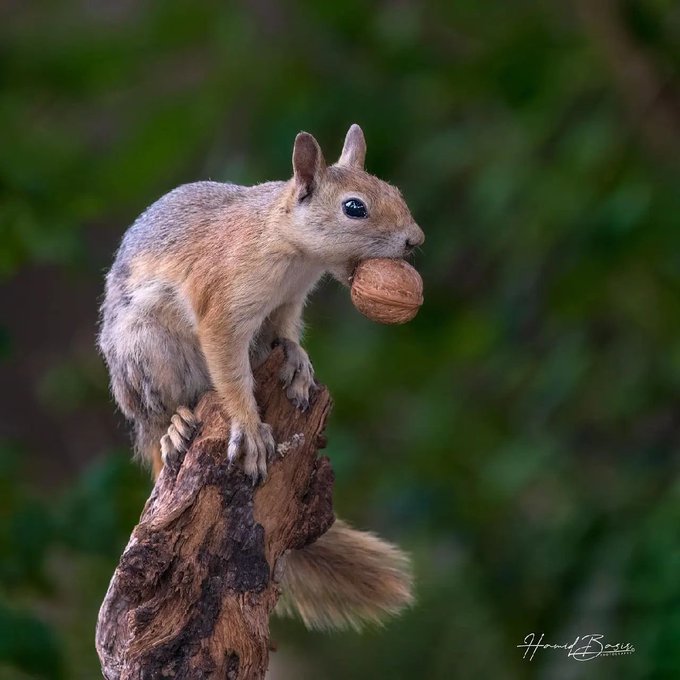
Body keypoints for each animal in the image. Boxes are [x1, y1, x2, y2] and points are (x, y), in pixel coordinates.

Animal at [98, 125, 422, 628]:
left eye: (395, 191)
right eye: (354, 207)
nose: (415, 240)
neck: (288, 244)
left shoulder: (288, 302)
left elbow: (286, 333)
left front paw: (297, 362)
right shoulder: (222, 308)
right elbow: (230, 375)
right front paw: (249, 429)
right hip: (145, 351)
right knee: (157, 417)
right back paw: (173, 425)